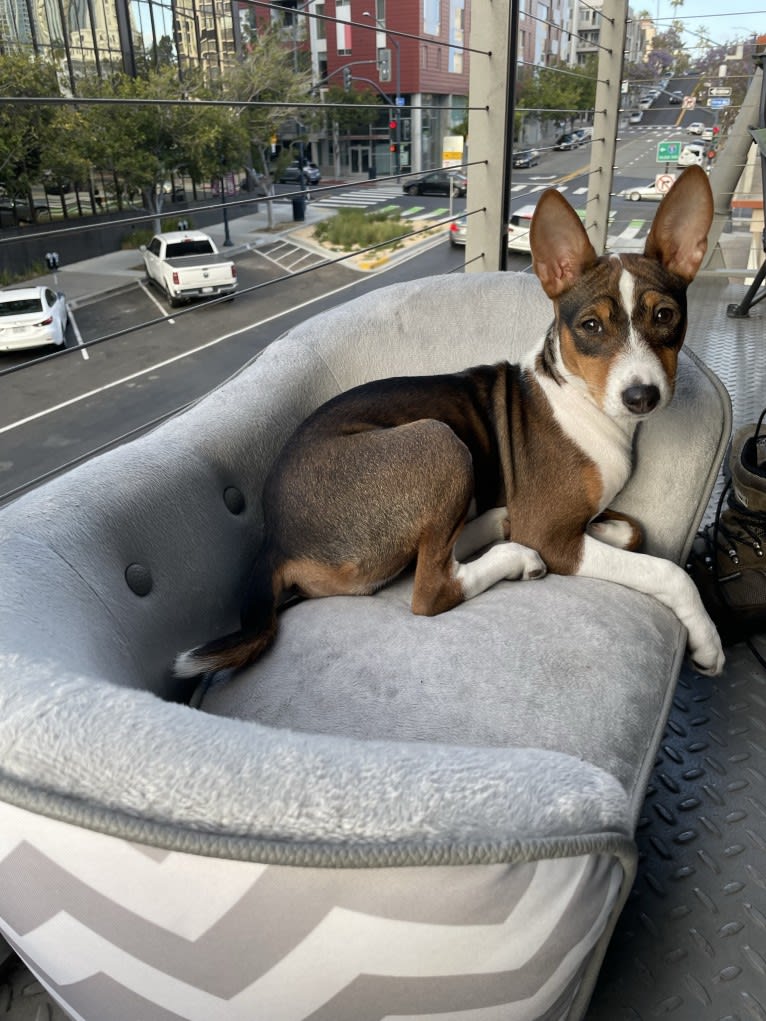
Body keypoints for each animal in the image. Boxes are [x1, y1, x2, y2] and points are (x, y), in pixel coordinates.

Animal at [176, 165, 727, 677]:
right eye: (591, 326)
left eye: (665, 316)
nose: (642, 396)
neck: (582, 401)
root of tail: (275, 538)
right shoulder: (553, 535)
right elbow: (667, 572)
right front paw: (707, 640)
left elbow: (633, 530)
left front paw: (604, 529)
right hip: (438, 440)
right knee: (431, 590)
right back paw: (512, 556)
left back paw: (491, 526)